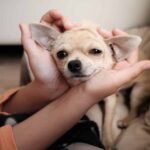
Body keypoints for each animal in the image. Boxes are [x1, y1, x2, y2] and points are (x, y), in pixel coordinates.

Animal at [21, 22, 141, 150]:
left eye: (96, 51)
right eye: (61, 54)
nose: (73, 64)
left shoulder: (110, 100)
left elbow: (108, 120)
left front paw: (108, 141)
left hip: (137, 93)